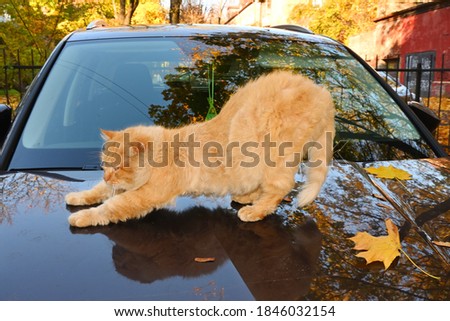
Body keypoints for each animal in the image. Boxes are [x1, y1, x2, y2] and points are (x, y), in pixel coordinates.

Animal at [66, 70, 334, 225]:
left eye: (120, 167)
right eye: (105, 166)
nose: (107, 175)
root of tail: (322, 93)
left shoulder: (144, 195)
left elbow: (109, 207)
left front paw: (82, 216)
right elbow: (97, 191)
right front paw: (79, 196)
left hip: (274, 159)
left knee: (281, 187)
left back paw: (255, 211)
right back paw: (247, 198)